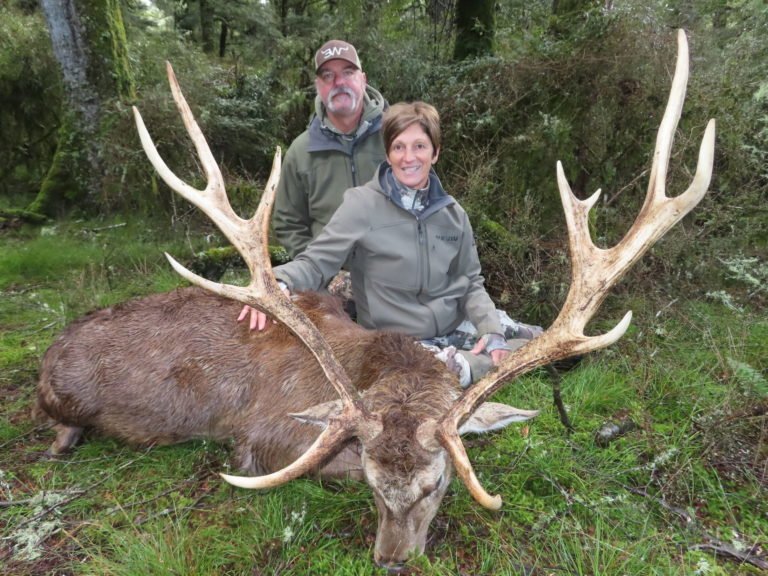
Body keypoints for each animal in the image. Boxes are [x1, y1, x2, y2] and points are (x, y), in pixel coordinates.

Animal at [34, 30, 714, 571]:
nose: (390, 559)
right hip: (68, 404)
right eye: (372, 481)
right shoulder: (260, 440)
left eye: (437, 484)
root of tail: (45, 361)